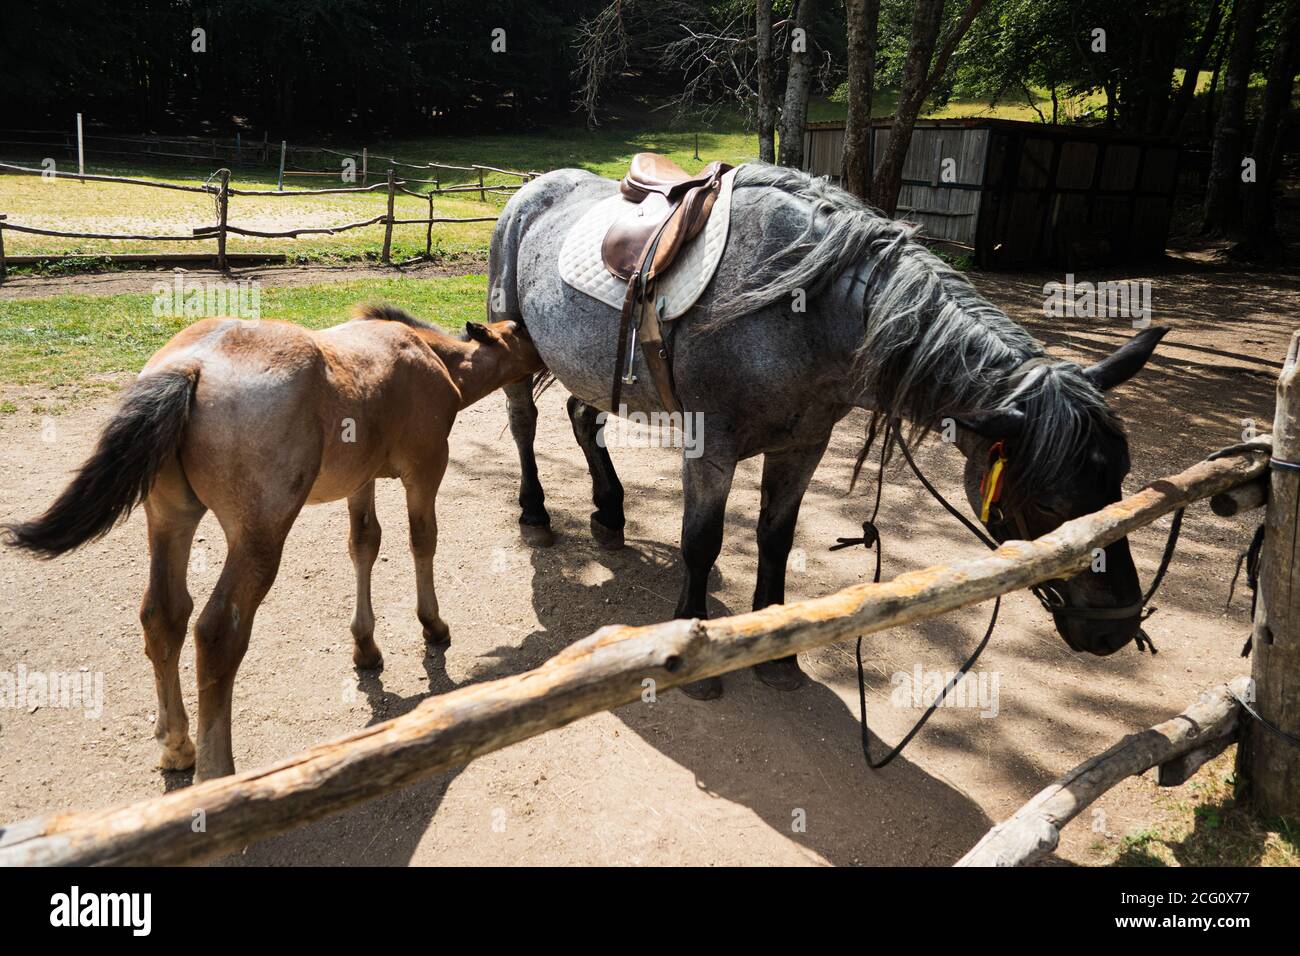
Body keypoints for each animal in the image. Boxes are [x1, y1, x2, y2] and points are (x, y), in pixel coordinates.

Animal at [6, 303, 543, 780]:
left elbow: (364, 544)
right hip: (259, 535)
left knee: (163, 614)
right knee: (217, 632)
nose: (543, 355)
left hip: (169, 519)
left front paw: (366, 647)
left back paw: (177, 745)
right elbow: (421, 541)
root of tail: (190, 366)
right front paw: (432, 625)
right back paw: (216, 774)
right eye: (520, 331)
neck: (432, 359)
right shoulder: (425, 469)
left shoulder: (361, 478)